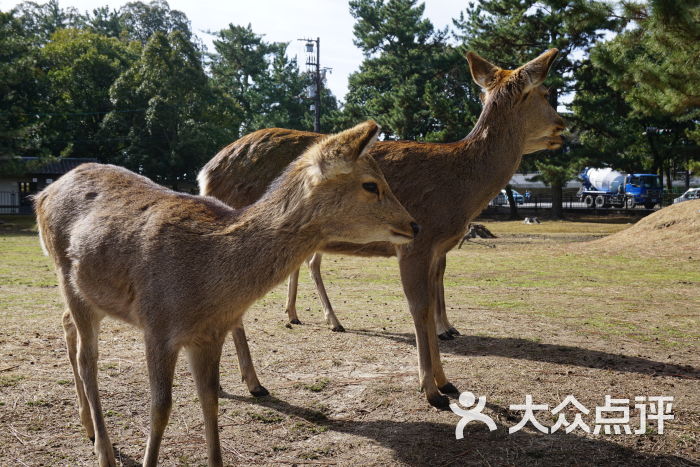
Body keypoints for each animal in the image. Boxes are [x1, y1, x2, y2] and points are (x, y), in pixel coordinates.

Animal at [32, 121, 416, 467]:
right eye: (371, 184)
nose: (414, 224)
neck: (210, 280)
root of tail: (41, 195)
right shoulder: (157, 325)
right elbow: (161, 407)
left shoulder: (211, 334)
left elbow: (210, 399)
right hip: (67, 277)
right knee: (86, 358)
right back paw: (104, 451)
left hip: (86, 295)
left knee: (66, 326)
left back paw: (88, 428)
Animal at [198, 48, 568, 410]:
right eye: (546, 93)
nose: (564, 125)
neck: (461, 188)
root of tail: (206, 172)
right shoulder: (417, 242)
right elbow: (420, 310)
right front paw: (431, 390)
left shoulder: (435, 248)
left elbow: (431, 305)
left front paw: (446, 381)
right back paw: (255, 382)